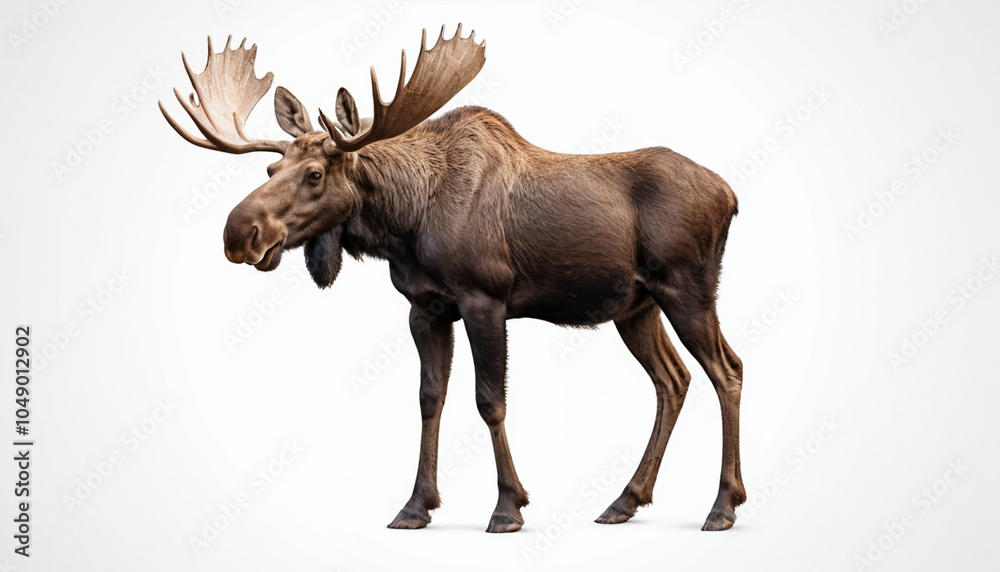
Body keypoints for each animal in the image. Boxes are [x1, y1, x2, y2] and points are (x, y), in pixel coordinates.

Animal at [159, 25, 746, 533]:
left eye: (316, 174)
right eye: (268, 171)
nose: (239, 233)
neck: (405, 221)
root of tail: (731, 195)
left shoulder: (485, 299)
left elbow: (489, 401)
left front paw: (508, 507)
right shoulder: (426, 307)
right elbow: (429, 398)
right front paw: (416, 505)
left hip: (687, 289)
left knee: (727, 370)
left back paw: (722, 505)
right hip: (636, 306)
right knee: (673, 379)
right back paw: (626, 500)